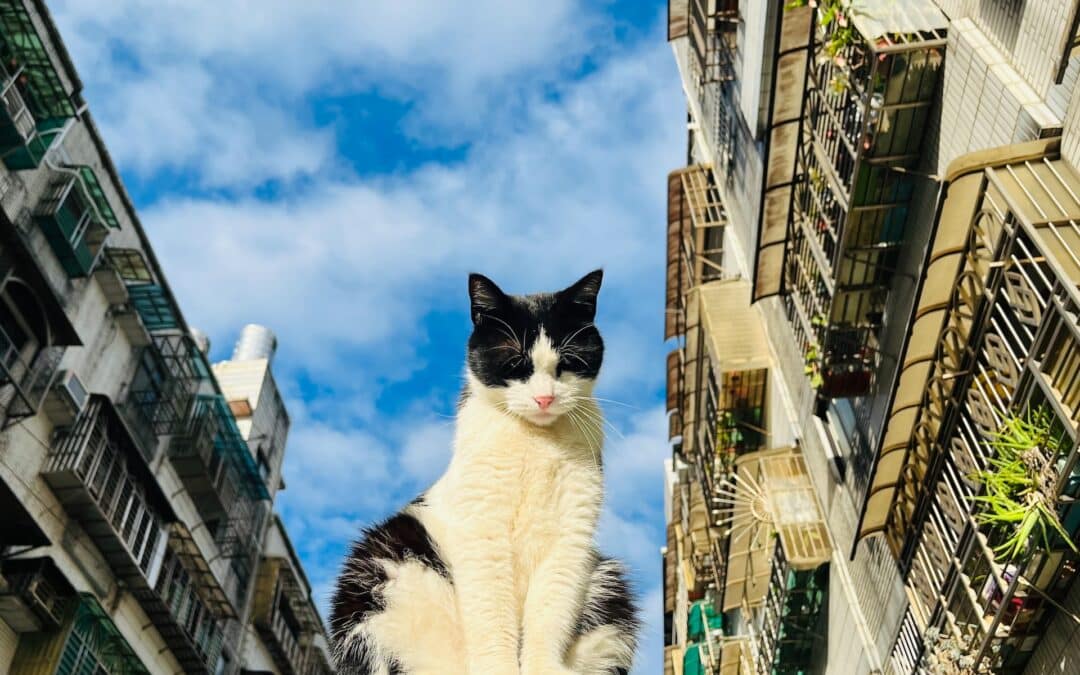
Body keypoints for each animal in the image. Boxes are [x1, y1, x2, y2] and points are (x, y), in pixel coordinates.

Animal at [324, 271, 635, 673]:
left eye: (567, 361)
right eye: (515, 362)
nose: (545, 398)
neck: (536, 441)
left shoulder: (571, 539)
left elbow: (550, 614)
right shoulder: (483, 534)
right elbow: (492, 615)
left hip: (609, 584)